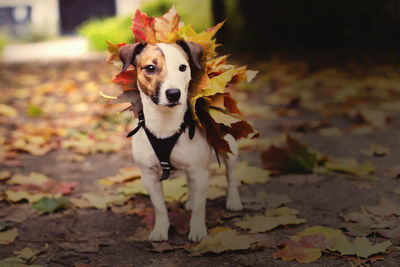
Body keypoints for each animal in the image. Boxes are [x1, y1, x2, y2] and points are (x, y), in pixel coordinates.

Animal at [117, 40, 242, 244]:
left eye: (183, 67)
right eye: (150, 68)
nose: (174, 93)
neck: (164, 126)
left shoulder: (201, 172)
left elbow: (200, 206)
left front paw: (197, 230)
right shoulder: (149, 175)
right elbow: (159, 207)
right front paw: (161, 230)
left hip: (227, 144)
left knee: (230, 174)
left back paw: (233, 201)